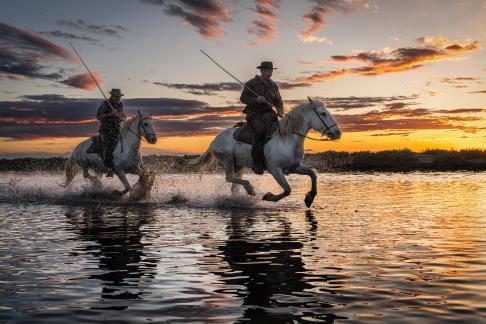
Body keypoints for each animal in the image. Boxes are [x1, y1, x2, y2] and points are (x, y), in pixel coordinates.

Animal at [192, 97, 340, 208]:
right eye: (323, 113)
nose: (337, 133)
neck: (286, 139)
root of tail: (213, 141)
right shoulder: (275, 170)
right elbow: (287, 189)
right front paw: (269, 197)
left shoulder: (294, 167)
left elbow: (313, 174)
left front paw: (309, 198)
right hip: (228, 161)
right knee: (229, 178)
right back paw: (250, 189)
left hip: (239, 165)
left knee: (234, 186)